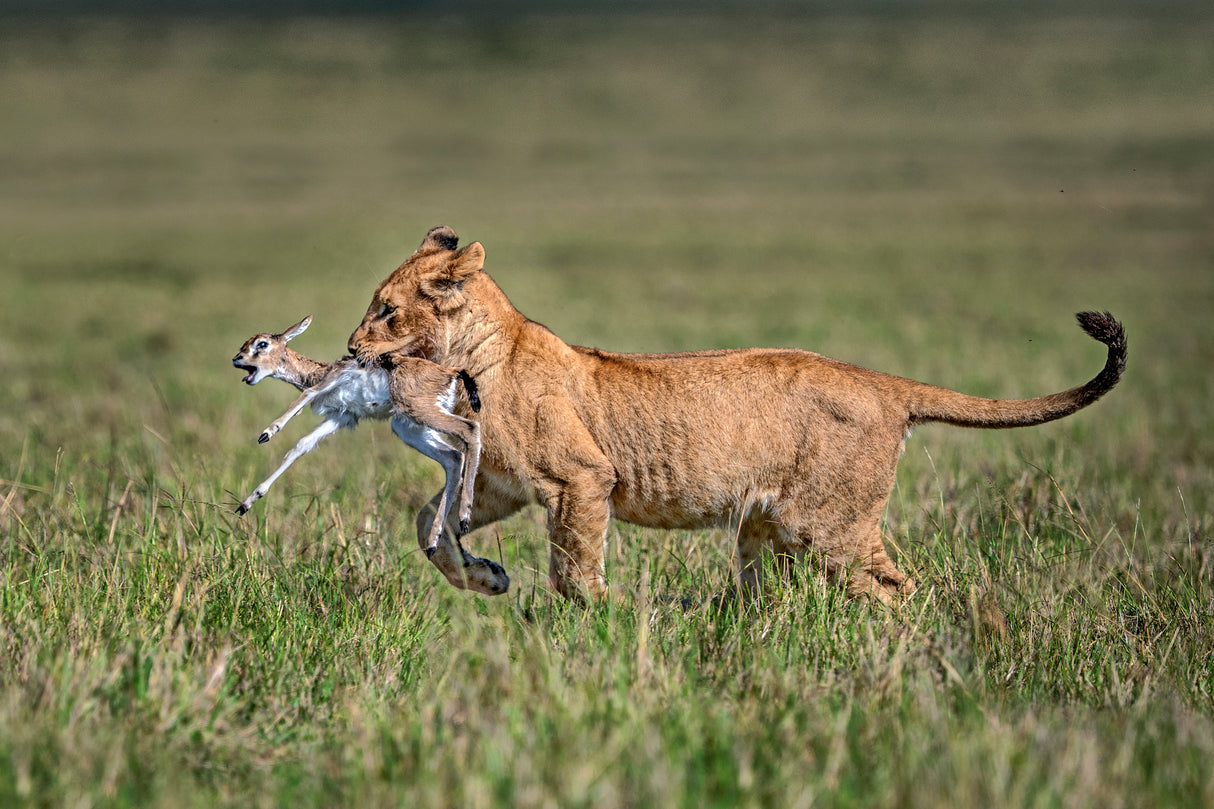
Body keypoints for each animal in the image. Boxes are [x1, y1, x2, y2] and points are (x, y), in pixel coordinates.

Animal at [348, 225, 1126, 603]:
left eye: (387, 311)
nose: (352, 349)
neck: (474, 355)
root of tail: (883, 383)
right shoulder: (503, 484)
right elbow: (427, 523)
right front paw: (484, 578)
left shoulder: (581, 479)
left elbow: (573, 569)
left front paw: (608, 616)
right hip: (770, 530)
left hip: (829, 528)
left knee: (899, 590)